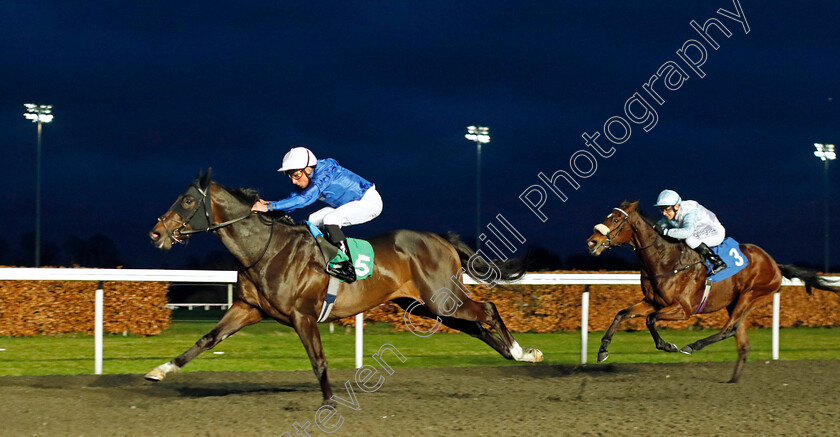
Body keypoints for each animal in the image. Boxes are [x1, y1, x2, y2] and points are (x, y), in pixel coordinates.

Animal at [145, 170, 544, 402]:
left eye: (188, 199)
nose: (156, 233)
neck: (267, 249)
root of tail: (441, 239)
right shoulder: (249, 308)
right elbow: (206, 340)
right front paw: (160, 370)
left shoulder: (302, 316)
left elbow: (318, 361)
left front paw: (328, 403)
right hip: (428, 305)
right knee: (475, 326)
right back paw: (517, 354)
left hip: (442, 299)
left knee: (487, 310)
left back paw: (523, 352)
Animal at [584, 201, 840, 382]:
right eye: (607, 216)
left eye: (617, 219)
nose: (591, 242)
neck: (666, 260)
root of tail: (775, 264)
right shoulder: (652, 302)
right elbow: (622, 314)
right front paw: (602, 351)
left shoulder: (683, 309)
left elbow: (650, 320)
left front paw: (668, 346)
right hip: (734, 301)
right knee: (741, 340)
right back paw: (733, 380)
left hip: (751, 295)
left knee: (729, 330)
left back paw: (693, 346)